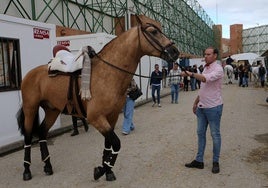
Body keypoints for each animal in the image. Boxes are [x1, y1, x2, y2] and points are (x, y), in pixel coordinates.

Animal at [16, 15, 180, 181]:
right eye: (153, 31)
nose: (175, 51)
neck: (107, 74)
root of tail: (31, 73)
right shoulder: (95, 117)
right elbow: (116, 143)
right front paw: (101, 170)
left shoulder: (112, 116)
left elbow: (108, 144)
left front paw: (107, 170)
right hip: (30, 109)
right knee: (28, 136)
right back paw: (26, 170)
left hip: (52, 110)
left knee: (42, 132)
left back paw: (48, 166)